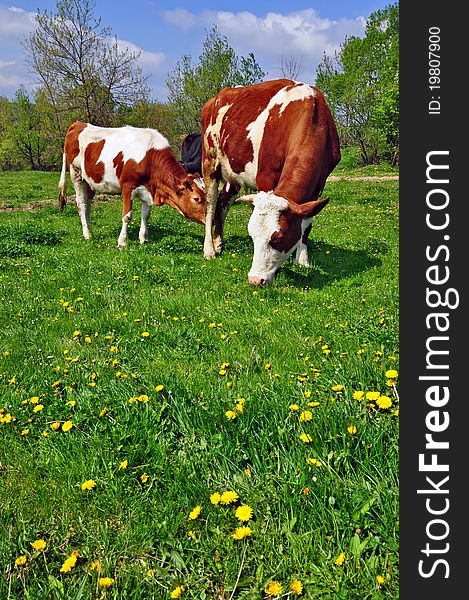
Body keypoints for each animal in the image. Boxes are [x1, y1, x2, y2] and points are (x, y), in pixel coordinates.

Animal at [58, 120, 205, 247]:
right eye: (196, 198)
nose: (208, 219)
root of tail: (78, 123)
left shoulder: (148, 190)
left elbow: (146, 215)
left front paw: (143, 239)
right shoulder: (127, 187)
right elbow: (127, 216)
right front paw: (122, 242)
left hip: (90, 182)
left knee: (88, 204)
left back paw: (90, 229)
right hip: (76, 174)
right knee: (81, 205)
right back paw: (87, 234)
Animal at [201, 78, 340, 284]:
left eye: (277, 238)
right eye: (252, 236)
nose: (254, 279)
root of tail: (217, 97)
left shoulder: (319, 185)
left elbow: (306, 225)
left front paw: (302, 260)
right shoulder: (265, 176)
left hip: (234, 173)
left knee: (223, 202)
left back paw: (219, 242)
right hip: (209, 162)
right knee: (210, 205)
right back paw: (209, 249)